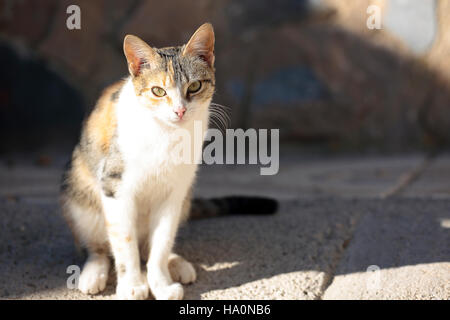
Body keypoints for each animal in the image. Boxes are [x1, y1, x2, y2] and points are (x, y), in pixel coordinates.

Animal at [59, 23, 278, 300]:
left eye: (194, 86)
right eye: (158, 91)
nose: (180, 110)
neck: (166, 134)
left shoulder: (175, 191)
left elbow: (162, 241)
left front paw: (160, 282)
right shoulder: (115, 186)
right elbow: (124, 241)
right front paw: (132, 284)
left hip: (184, 200)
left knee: (150, 245)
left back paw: (177, 263)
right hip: (79, 195)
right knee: (96, 245)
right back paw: (93, 272)